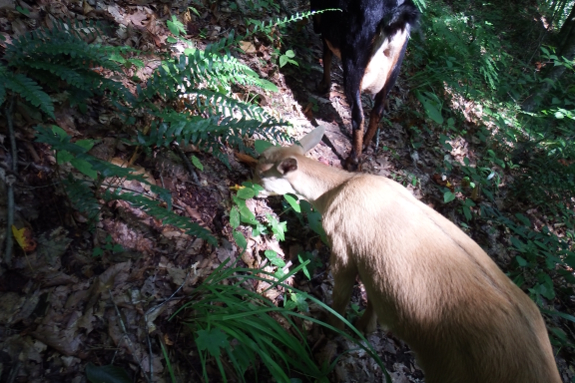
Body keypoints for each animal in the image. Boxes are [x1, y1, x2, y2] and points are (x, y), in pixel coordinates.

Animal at [255, 127, 564, 383]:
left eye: (263, 171)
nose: (246, 177)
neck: (335, 192)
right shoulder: (377, 272)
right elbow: (373, 305)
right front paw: (364, 329)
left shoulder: (344, 247)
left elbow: (340, 299)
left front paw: (332, 330)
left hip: (449, 372)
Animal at [312, 0, 420, 169]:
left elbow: (327, 56)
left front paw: (324, 86)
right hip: (393, 73)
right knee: (378, 111)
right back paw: (364, 144)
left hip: (354, 67)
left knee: (358, 115)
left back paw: (353, 159)